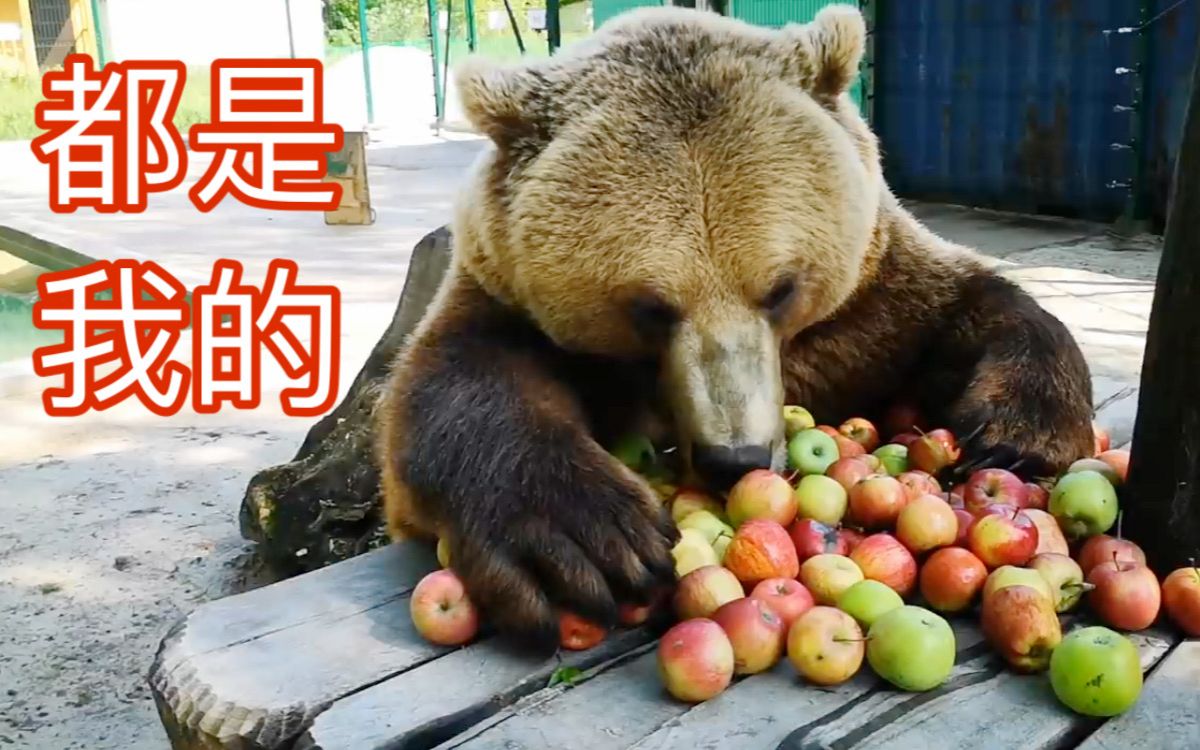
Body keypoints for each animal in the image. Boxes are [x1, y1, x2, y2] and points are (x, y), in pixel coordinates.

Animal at [374, 4, 1094, 649]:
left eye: (781, 288)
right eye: (651, 307)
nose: (735, 457)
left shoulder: (872, 300)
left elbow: (969, 304)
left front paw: (1013, 435)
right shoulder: (506, 296)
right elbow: (454, 381)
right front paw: (586, 543)